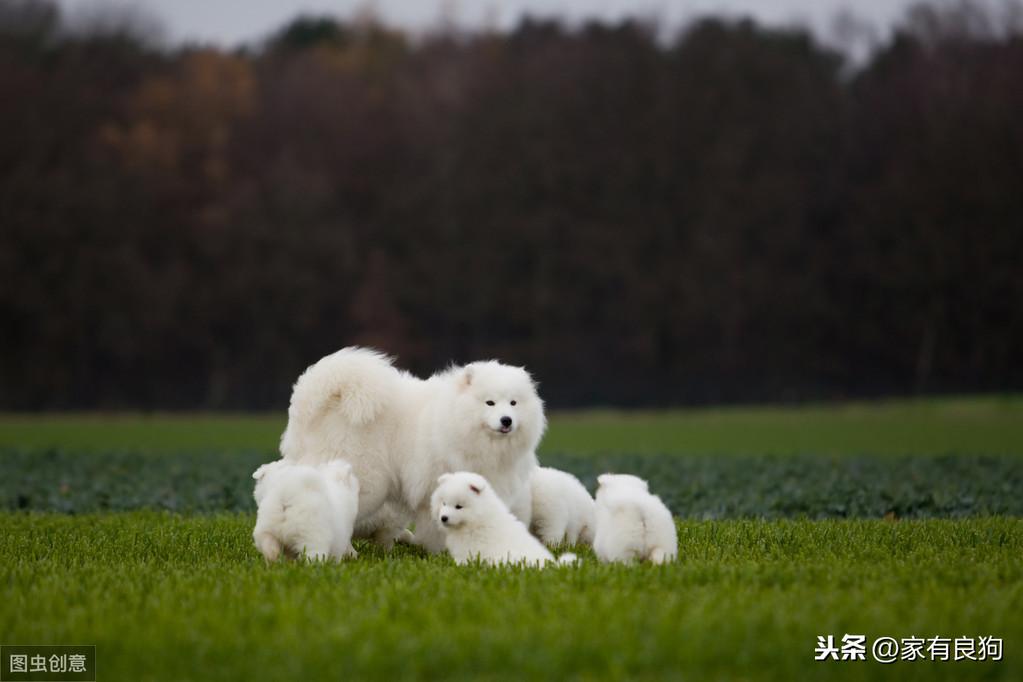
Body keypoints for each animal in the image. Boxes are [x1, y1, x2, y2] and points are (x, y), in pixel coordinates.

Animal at [276, 349, 548, 552]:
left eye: (513, 403)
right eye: (489, 402)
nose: (506, 420)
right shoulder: (434, 488)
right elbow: (439, 524)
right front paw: (442, 553)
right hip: (367, 481)